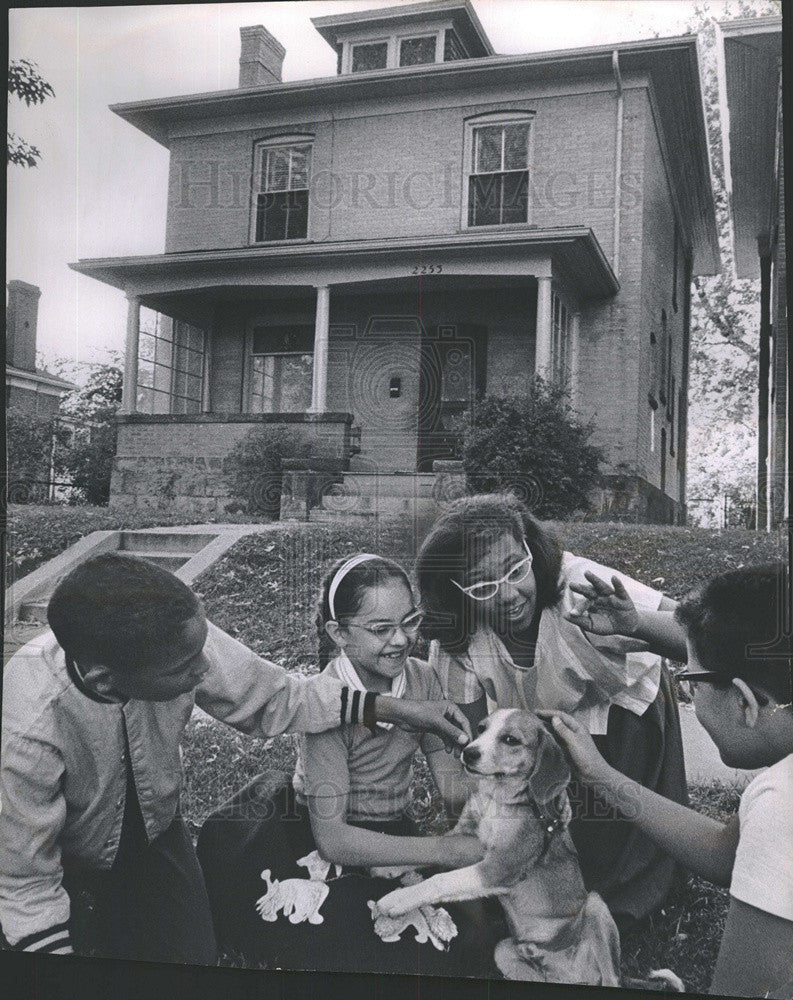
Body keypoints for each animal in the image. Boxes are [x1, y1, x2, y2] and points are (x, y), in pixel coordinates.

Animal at [374, 712, 620, 984]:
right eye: (481, 728)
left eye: (511, 740)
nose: (468, 752)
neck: (494, 799)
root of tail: (573, 976)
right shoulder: (461, 835)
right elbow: (430, 845)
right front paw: (388, 865)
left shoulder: (501, 866)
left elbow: (441, 880)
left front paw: (399, 899)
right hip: (503, 951)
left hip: (595, 905)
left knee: (612, 978)